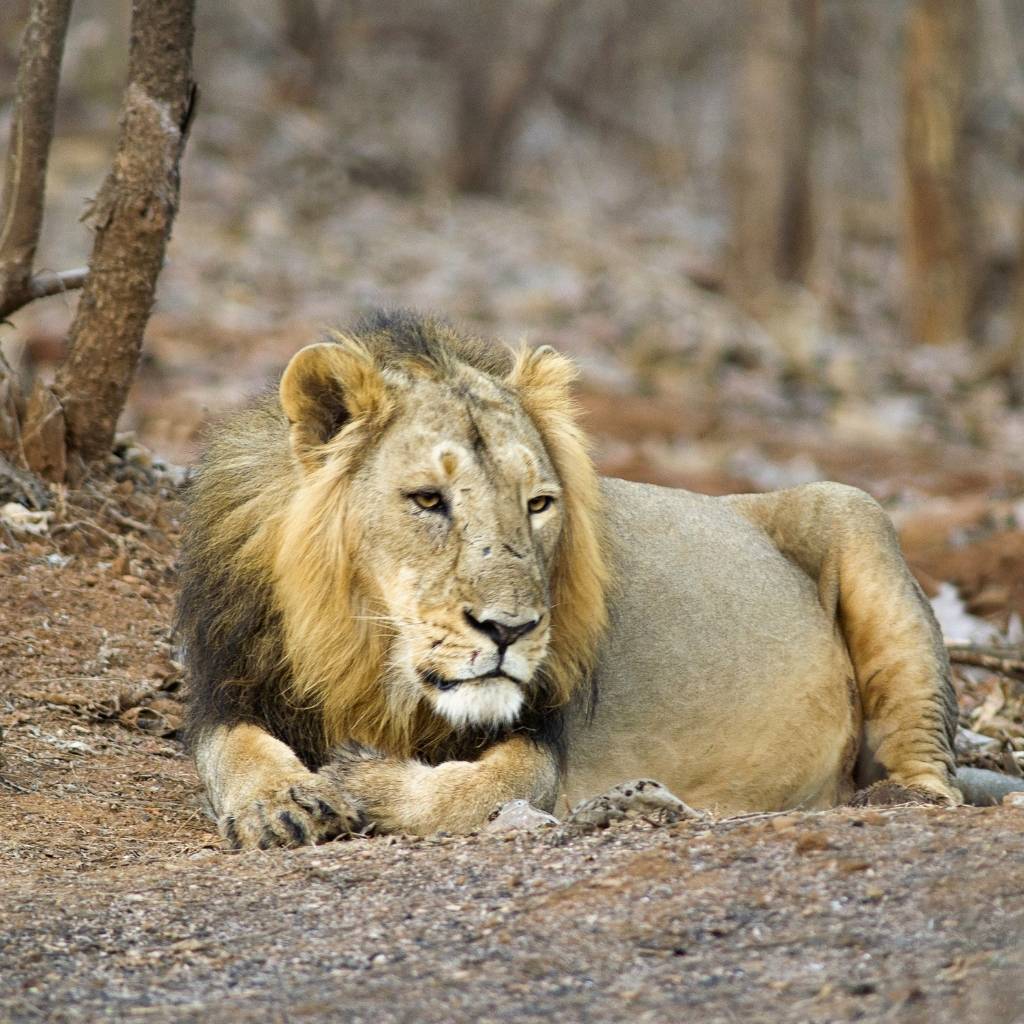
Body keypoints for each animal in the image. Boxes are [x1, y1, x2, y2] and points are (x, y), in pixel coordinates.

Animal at [180, 309, 1019, 847]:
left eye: (538, 503)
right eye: (427, 500)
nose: (511, 630)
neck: (366, 650)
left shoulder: (539, 736)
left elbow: (483, 790)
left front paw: (359, 780)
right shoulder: (228, 686)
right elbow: (234, 751)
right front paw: (283, 802)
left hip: (856, 512)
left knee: (931, 772)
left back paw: (894, 797)